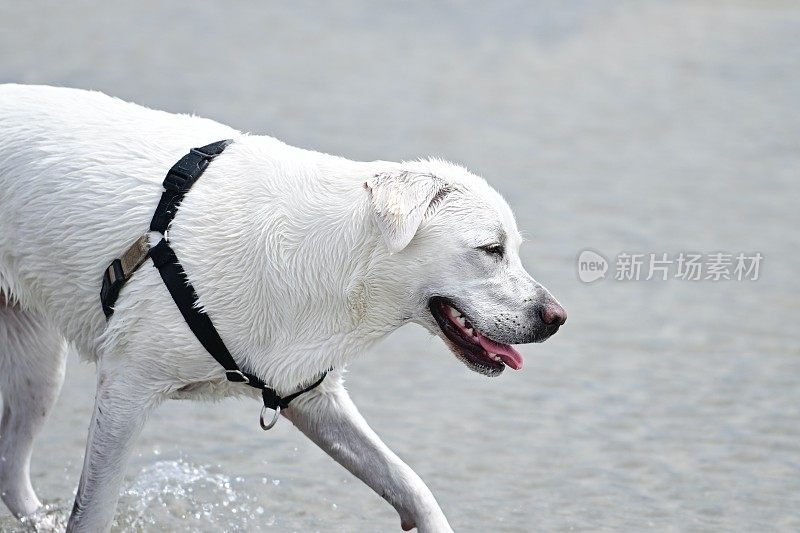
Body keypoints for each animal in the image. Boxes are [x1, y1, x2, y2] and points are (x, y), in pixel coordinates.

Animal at [0, 85, 564, 528]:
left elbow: (410, 485)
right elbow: (93, 511)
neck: (338, 256)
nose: (557, 318)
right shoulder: (127, 387)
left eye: (513, 248)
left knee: (10, 471)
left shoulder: (309, 393)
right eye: (491, 249)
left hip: (38, 370)